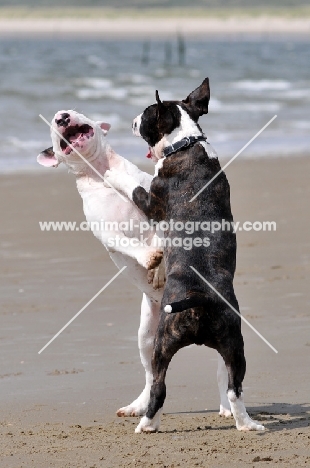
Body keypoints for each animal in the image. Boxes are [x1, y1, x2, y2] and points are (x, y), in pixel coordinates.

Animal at [37, 109, 231, 416]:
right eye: (51, 127)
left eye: (75, 111)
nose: (62, 116)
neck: (99, 171)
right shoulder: (106, 233)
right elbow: (128, 244)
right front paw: (151, 258)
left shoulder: (160, 212)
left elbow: (162, 237)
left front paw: (160, 267)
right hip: (146, 336)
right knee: (152, 373)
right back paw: (138, 406)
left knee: (223, 371)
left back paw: (226, 404)